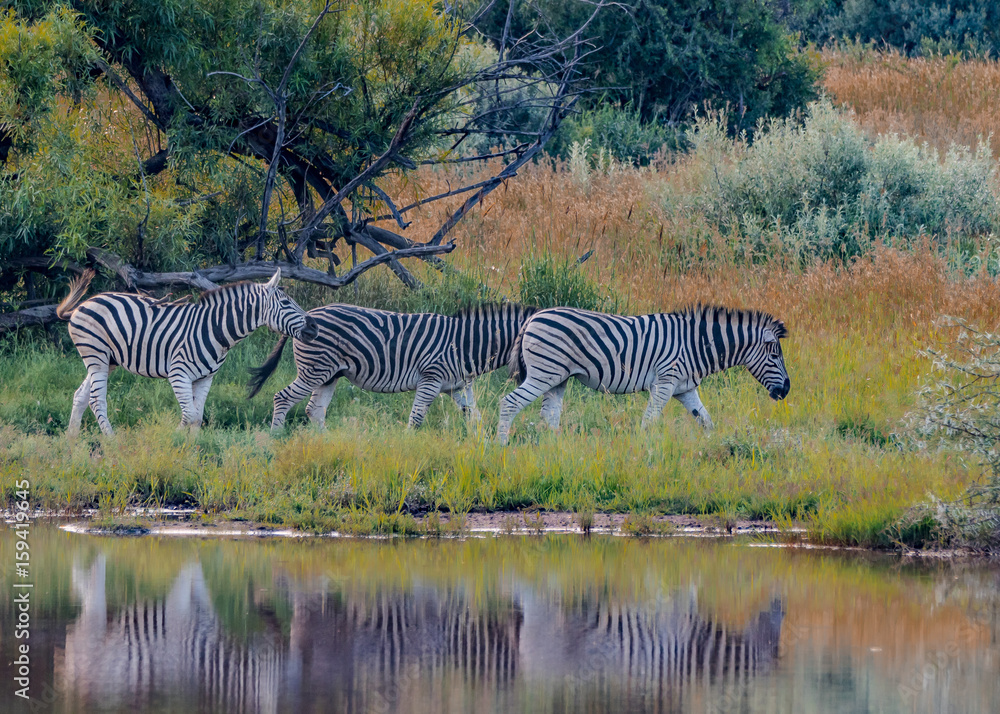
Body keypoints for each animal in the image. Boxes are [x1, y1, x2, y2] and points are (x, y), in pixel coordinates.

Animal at [56, 268, 318, 436]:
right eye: (286, 304)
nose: (314, 327)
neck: (214, 330)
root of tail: (83, 304)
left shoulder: (205, 378)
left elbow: (198, 417)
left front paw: (193, 450)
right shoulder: (178, 374)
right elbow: (190, 416)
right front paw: (173, 442)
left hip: (107, 359)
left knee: (80, 396)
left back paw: (72, 440)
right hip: (96, 355)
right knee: (96, 400)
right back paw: (111, 441)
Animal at [246, 303, 537, 430]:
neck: (465, 344)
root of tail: (307, 316)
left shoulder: (458, 387)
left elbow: (474, 418)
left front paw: (481, 448)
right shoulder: (430, 378)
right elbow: (416, 417)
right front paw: (409, 448)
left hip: (329, 374)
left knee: (314, 410)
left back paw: (324, 443)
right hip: (313, 370)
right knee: (282, 398)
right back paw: (276, 438)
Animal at [497, 305, 789, 444]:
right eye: (775, 357)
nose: (785, 390)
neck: (696, 343)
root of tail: (532, 318)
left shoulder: (686, 389)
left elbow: (706, 422)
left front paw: (715, 449)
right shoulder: (664, 382)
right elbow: (648, 423)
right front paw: (643, 454)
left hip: (557, 378)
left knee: (549, 415)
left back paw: (556, 450)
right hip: (543, 374)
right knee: (509, 403)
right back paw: (501, 445)